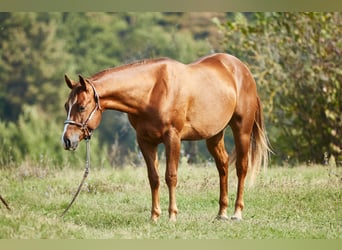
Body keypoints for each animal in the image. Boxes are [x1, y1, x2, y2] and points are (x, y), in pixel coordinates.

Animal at [62, 52, 270, 221]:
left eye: (81, 107)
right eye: (66, 106)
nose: (67, 140)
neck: (152, 92)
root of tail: (242, 69)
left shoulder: (173, 138)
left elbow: (171, 176)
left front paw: (172, 215)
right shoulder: (145, 141)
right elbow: (153, 178)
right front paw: (154, 216)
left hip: (242, 130)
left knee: (241, 167)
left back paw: (237, 213)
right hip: (214, 135)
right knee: (223, 165)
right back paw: (222, 213)